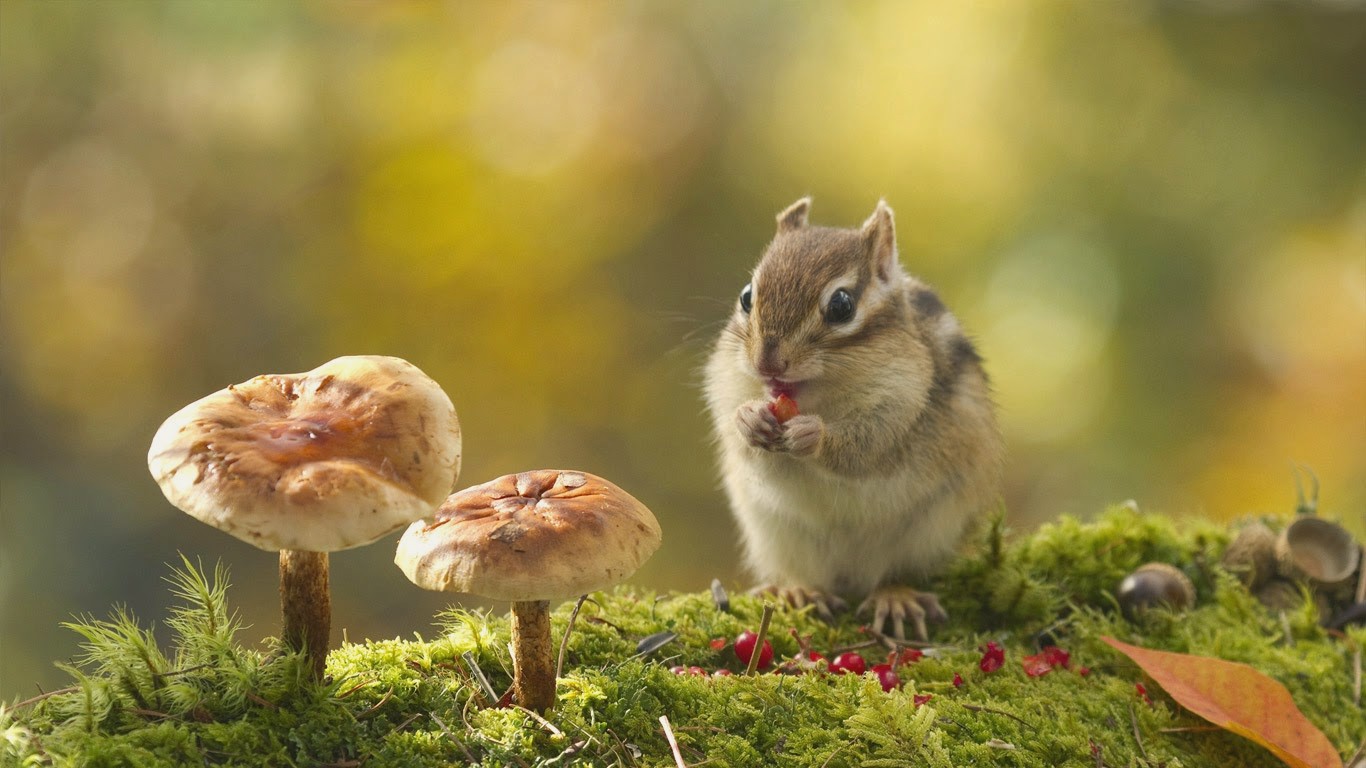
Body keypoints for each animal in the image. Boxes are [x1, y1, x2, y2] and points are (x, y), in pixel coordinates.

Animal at [703, 197, 1004, 640]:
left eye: (841, 305)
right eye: (746, 296)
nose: (766, 362)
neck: (820, 396)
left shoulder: (900, 406)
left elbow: (865, 450)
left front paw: (814, 436)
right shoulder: (727, 387)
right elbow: (745, 442)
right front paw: (749, 419)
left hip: (927, 534)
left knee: (896, 572)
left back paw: (894, 596)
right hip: (777, 536)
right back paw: (798, 591)